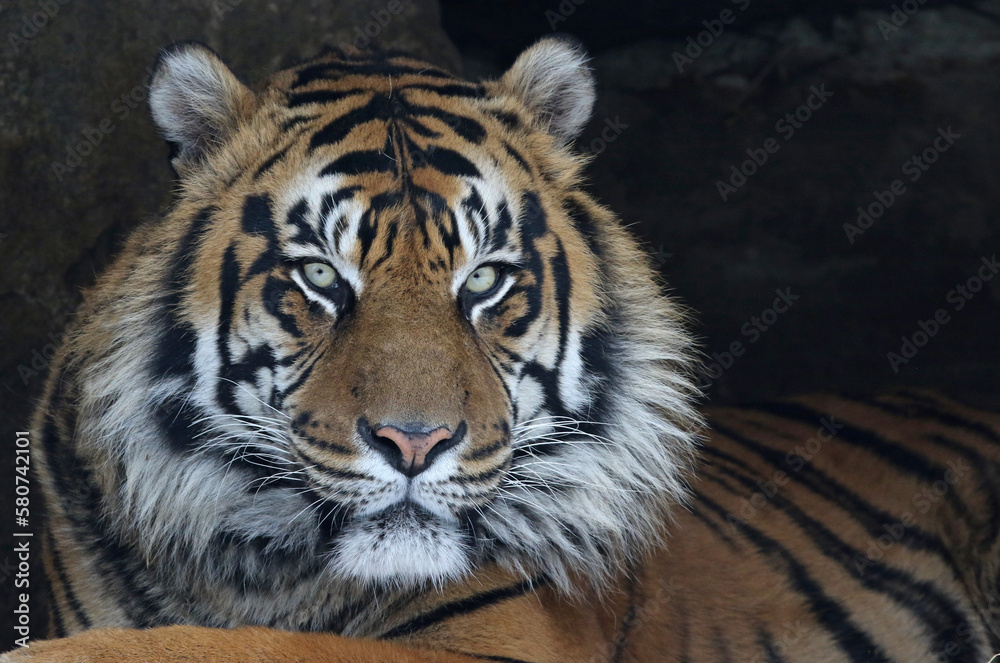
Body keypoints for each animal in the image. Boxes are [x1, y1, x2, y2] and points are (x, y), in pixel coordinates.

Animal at [5, 35, 1000, 663]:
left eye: (483, 280)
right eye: (322, 275)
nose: (413, 443)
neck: (250, 569)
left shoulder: (494, 640)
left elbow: (225, 650)